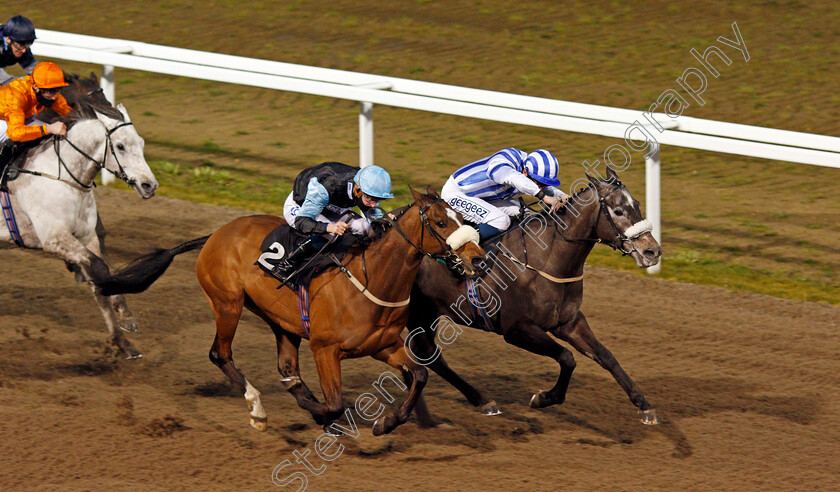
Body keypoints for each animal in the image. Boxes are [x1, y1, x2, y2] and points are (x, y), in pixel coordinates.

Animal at [0, 97, 158, 358]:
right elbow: (100, 268)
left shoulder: (86, 237)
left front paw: (122, 339)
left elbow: (100, 276)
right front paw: (123, 316)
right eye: (120, 146)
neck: (62, 176)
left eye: (142, 144)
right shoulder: (54, 239)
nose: (150, 185)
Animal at [93, 188, 486, 434]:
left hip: (281, 322)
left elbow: (418, 376)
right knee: (220, 354)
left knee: (286, 366)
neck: (372, 278)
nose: (478, 259)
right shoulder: (325, 349)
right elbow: (335, 403)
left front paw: (385, 423)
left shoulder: (382, 346)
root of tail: (214, 235)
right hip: (227, 304)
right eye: (440, 223)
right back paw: (258, 410)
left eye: (463, 217)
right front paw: (323, 416)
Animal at [406, 167, 664, 424]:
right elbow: (567, 357)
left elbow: (606, 356)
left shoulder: (569, 322)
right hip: (418, 314)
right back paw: (477, 401)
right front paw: (543, 398)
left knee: (428, 358)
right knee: (430, 356)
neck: (546, 259)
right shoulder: (516, 329)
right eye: (618, 211)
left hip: (428, 313)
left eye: (637, 204)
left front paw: (644, 405)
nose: (652, 251)